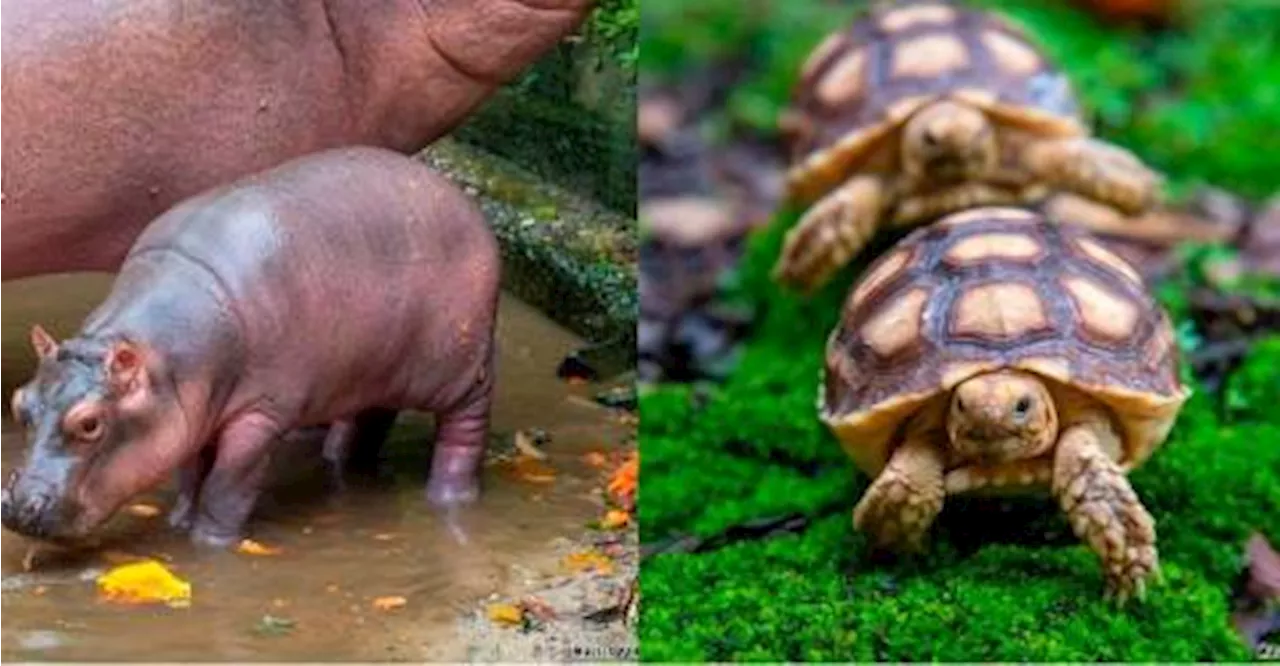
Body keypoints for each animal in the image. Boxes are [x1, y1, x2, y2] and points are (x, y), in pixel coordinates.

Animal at [0, 147, 496, 545]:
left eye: (89, 424)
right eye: (20, 404)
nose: (18, 506)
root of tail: (465, 203)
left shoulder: (260, 413)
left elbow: (228, 483)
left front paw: (207, 542)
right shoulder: (190, 413)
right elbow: (191, 472)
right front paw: (180, 521)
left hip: (460, 369)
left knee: (465, 427)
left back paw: (448, 497)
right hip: (375, 369)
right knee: (371, 419)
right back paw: (344, 469)